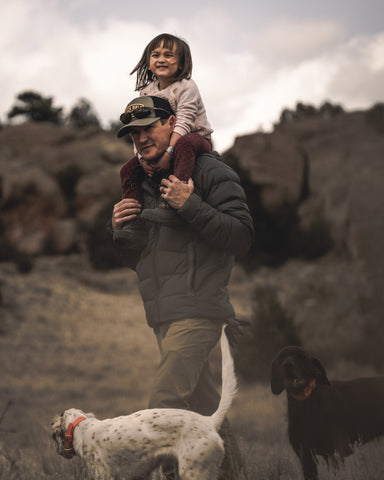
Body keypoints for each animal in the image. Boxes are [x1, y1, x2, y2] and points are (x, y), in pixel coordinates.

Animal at [270, 346, 384, 478]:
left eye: (301, 356)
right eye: (281, 357)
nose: (288, 364)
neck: (306, 405)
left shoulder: (334, 455)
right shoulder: (306, 458)